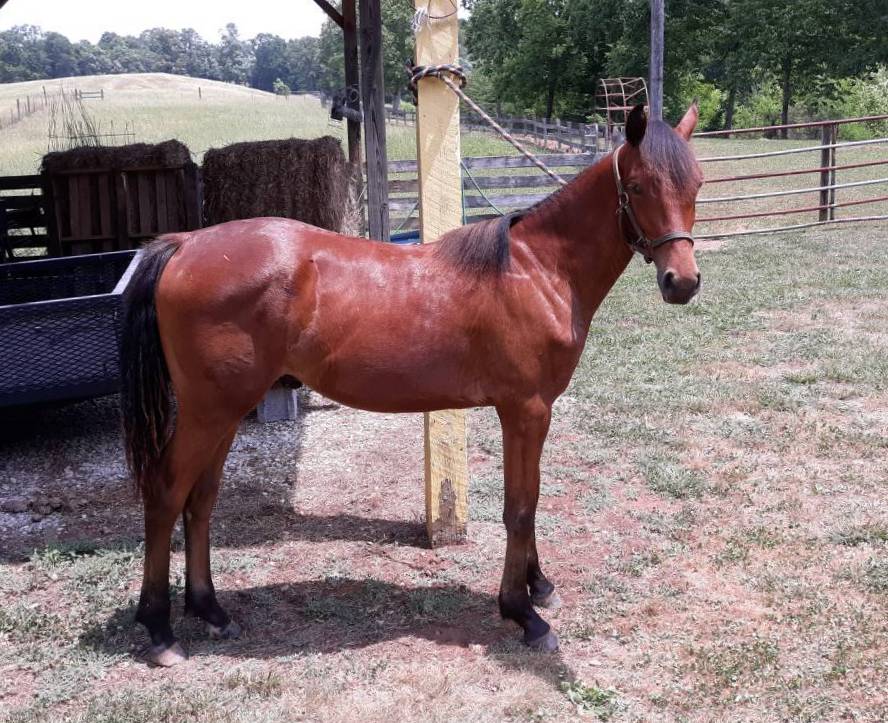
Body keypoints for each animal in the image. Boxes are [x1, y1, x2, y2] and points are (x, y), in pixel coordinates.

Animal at [120, 103, 703, 666]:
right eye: (639, 186)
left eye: (696, 183)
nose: (683, 282)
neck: (538, 270)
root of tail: (184, 244)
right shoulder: (526, 410)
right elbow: (520, 507)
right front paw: (523, 613)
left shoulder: (530, 413)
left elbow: (529, 500)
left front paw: (538, 587)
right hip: (207, 412)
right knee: (166, 493)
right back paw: (160, 628)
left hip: (224, 412)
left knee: (201, 500)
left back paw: (210, 610)